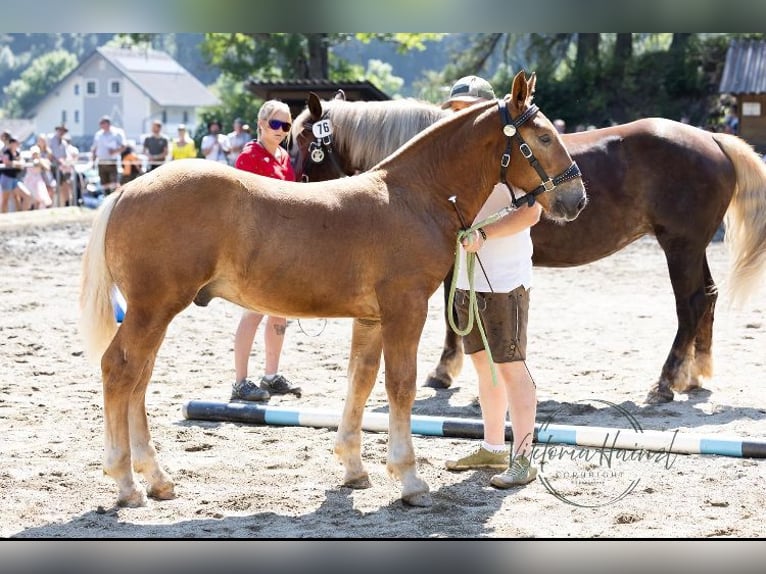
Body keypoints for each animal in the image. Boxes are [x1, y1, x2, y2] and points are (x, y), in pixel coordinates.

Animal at [79, 72, 588, 508]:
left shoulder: (371, 317)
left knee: (139, 378)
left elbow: (360, 380)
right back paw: (125, 483)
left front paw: (353, 468)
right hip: (152, 309)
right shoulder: (405, 309)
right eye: (544, 137)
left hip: (156, 313)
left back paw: (156, 479)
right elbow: (399, 385)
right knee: (119, 371)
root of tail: (125, 191)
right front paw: (409, 479)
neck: (413, 196)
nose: (576, 199)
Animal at [292, 93, 766, 404]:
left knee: (690, 303)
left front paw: (443, 369)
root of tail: (713, 138)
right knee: (707, 297)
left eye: (304, 145)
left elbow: (451, 310)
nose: (293, 186)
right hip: (692, 247)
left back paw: (667, 380)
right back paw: (695, 375)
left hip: (679, 246)